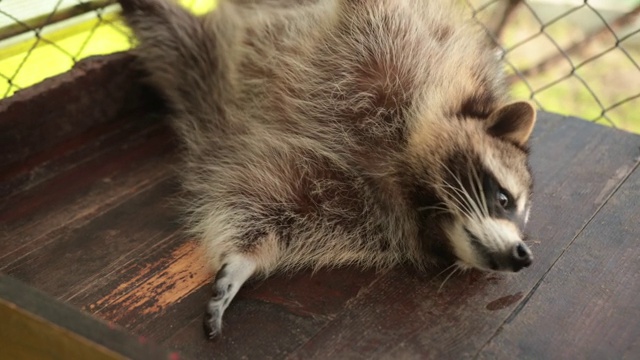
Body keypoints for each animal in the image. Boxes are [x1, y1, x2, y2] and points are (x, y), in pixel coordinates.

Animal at [117, 0, 536, 338]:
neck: (409, 181)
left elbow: (269, 209)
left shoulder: (351, 202)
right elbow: (369, 12)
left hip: (197, 69)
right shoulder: (402, 53)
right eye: (504, 199)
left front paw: (242, 261)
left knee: (169, 35)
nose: (523, 256)